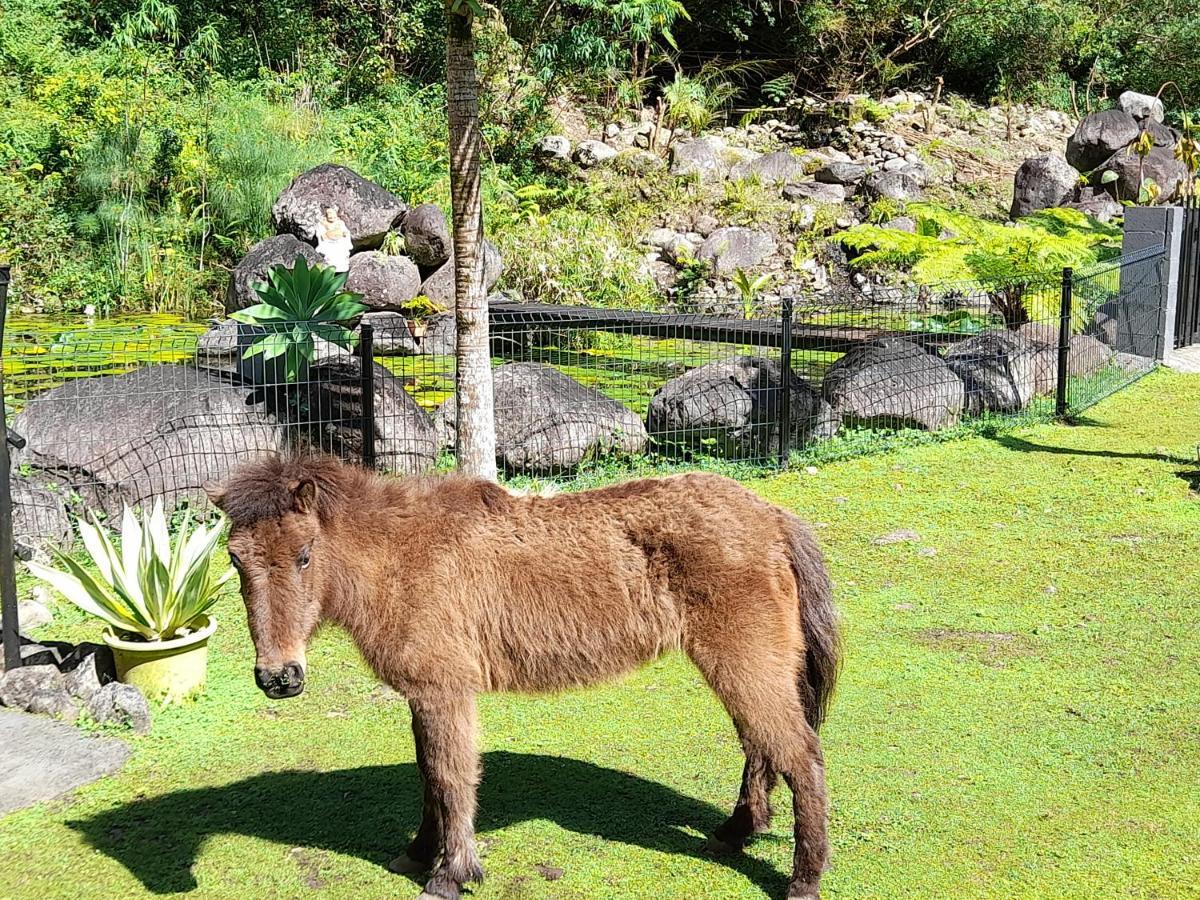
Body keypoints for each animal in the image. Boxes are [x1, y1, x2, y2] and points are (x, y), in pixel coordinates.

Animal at [208, 458, 844, 900]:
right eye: (236, 560)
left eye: (305, 555)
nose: (279, 678)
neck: (402, 556)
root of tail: (774, 518)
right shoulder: (424, 696)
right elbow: (429, 779)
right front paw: (419, 852)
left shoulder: (445, 692)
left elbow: (450, 777)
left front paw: (451, 874)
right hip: (745, 670)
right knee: (762, 748)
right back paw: (737, 831)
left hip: (744, 665)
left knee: (801, 756)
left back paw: (803, 880)